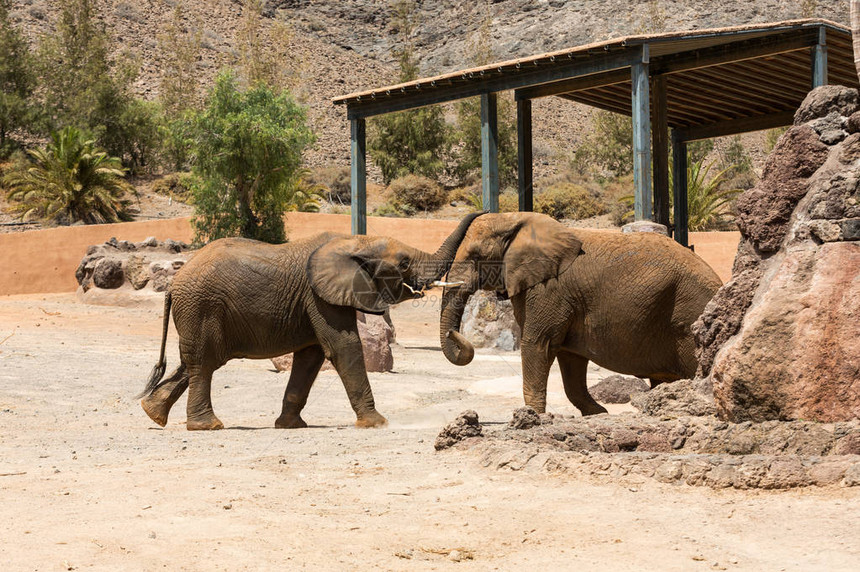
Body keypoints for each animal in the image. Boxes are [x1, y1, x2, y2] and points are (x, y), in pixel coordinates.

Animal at [137, 212, 480, 432]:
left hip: (197, 312)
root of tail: (173, 283)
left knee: (193, 362)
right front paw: (378, 423)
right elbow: (343, 347)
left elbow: (311, 357)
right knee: (203, 362)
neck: (355, 241)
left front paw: (290, 426)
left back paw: (152, 415)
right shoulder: (319, 296)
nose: (482, 212)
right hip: (201, 307)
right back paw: (208, 427)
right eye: (405, 263)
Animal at [440, 213, 724, 416]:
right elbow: (570, 358)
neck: (516, 219)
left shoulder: (549, 290)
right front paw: (599, 413)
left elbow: (537, 344)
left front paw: (531, 417)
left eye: (476, 256)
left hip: (688, 317)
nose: (454, 333)